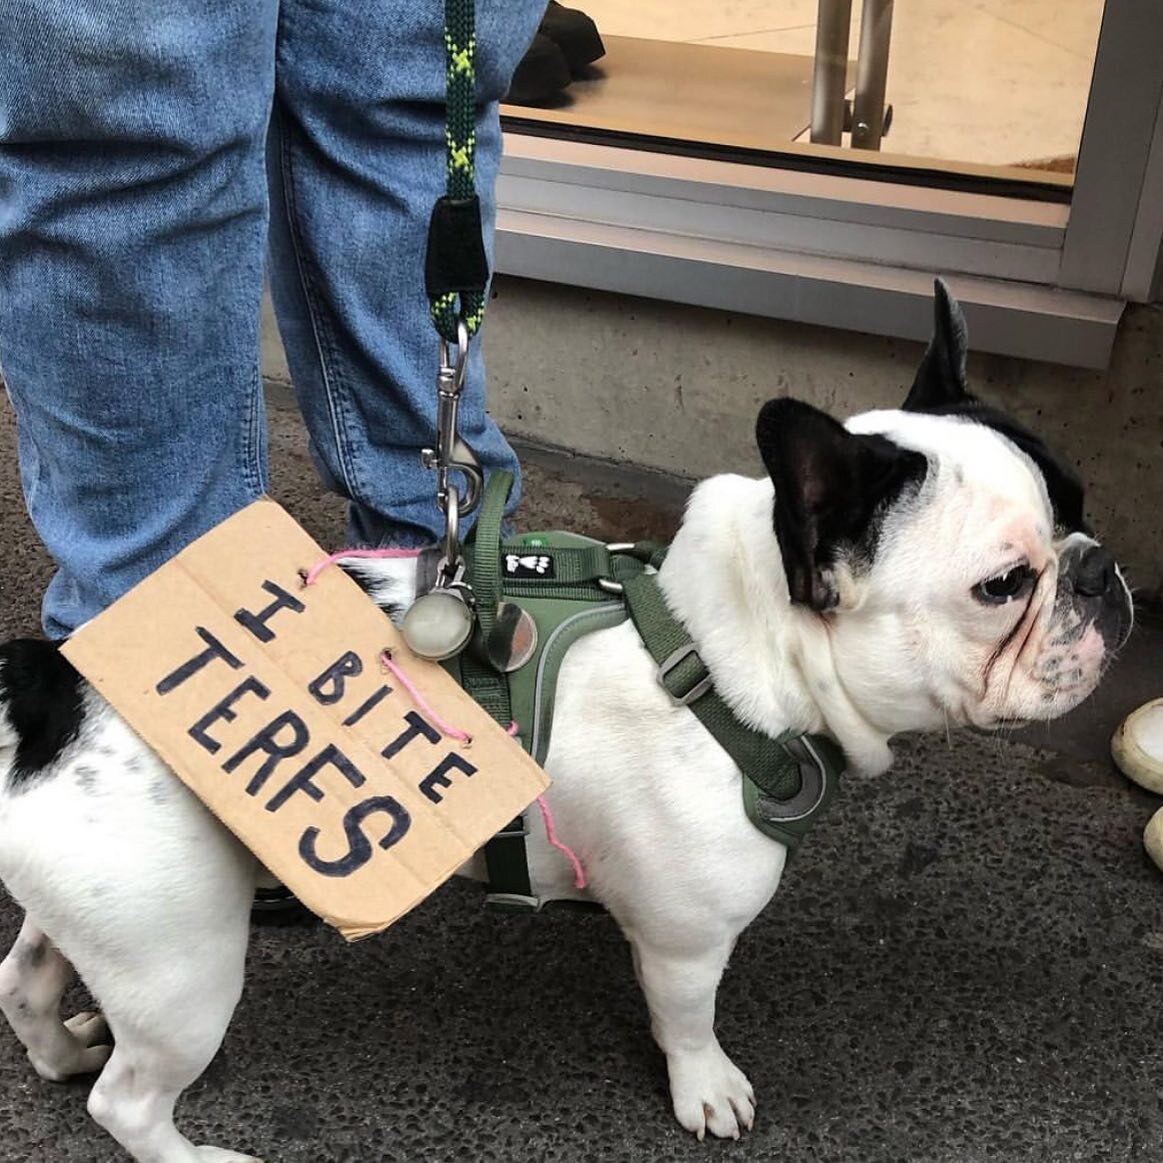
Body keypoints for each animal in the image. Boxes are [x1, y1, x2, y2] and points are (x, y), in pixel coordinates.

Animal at [0, 283, 1135, 1163]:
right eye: (1001, 585)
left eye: (1081, 500)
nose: (1097, 569)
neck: (723, 648)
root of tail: (51, 685)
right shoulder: (685, 938)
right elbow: (686, 1015)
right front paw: (705, 1087)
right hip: (181, 962)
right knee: (127, 1100)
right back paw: (186, 1146)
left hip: (112, 920)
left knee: (26, 979)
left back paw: (60, 1046)